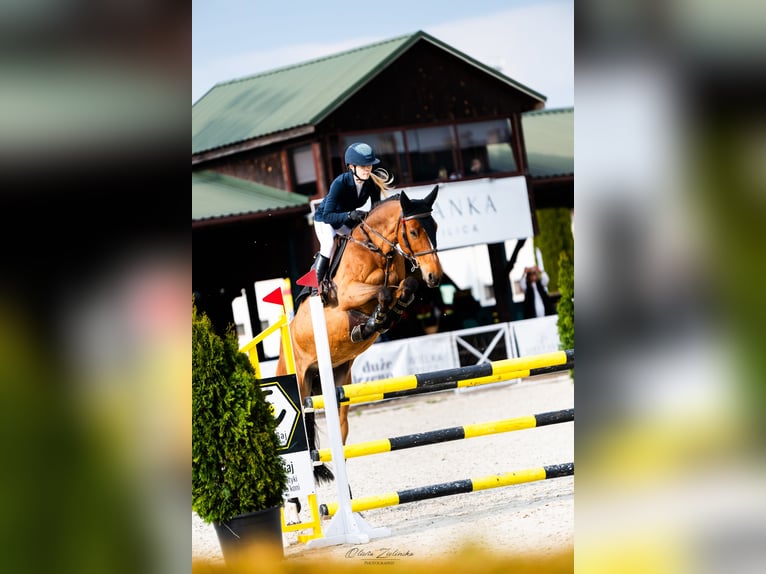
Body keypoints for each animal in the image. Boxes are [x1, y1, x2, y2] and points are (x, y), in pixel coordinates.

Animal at [276, 186, 443, 518]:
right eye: (414, 231)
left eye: (435, 228)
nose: (435, 277)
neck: (378, 249)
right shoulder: (349, 294)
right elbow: (384, 291)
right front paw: (373, 320)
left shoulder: (402, 280)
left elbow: (405, 287)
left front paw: (383, 317)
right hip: (299, 382)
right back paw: (296, 504)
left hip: (339, 383)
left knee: (338, 438)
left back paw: (347, 503)